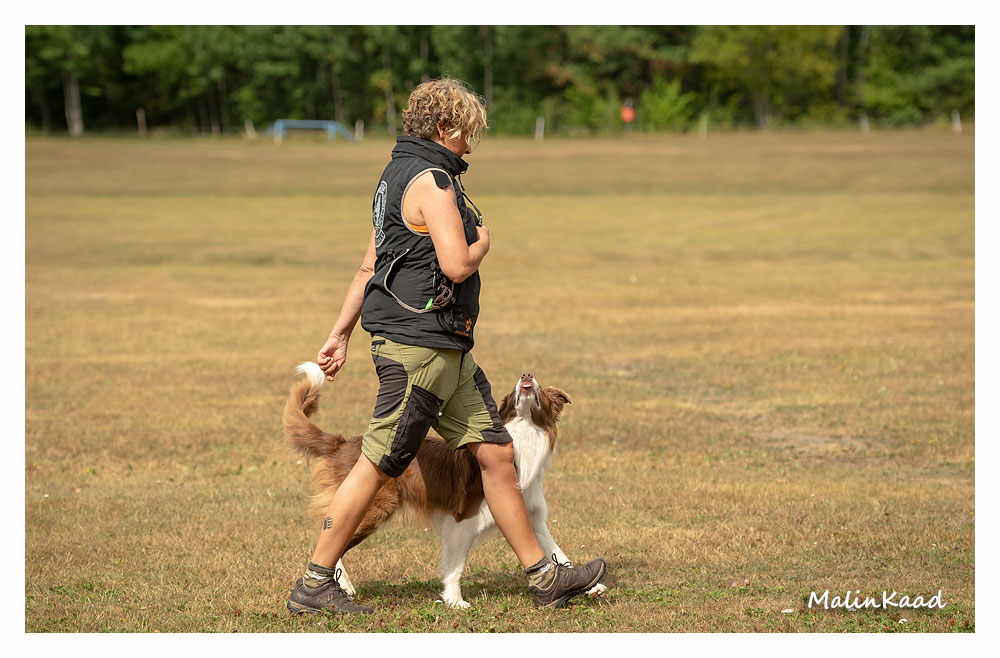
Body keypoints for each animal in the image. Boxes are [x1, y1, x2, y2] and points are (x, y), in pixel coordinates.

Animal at [282, 362, 607, 608]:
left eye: (538, 389)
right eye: (514, 391)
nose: (526, 375)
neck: (524, 437)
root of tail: (343, 443)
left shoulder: (532, 517)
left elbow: (558, 554)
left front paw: (587, 585)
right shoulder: (462, 519)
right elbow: (456, 565)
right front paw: (454, 601)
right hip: (375, 507)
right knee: (330, 533)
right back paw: (340, 587)